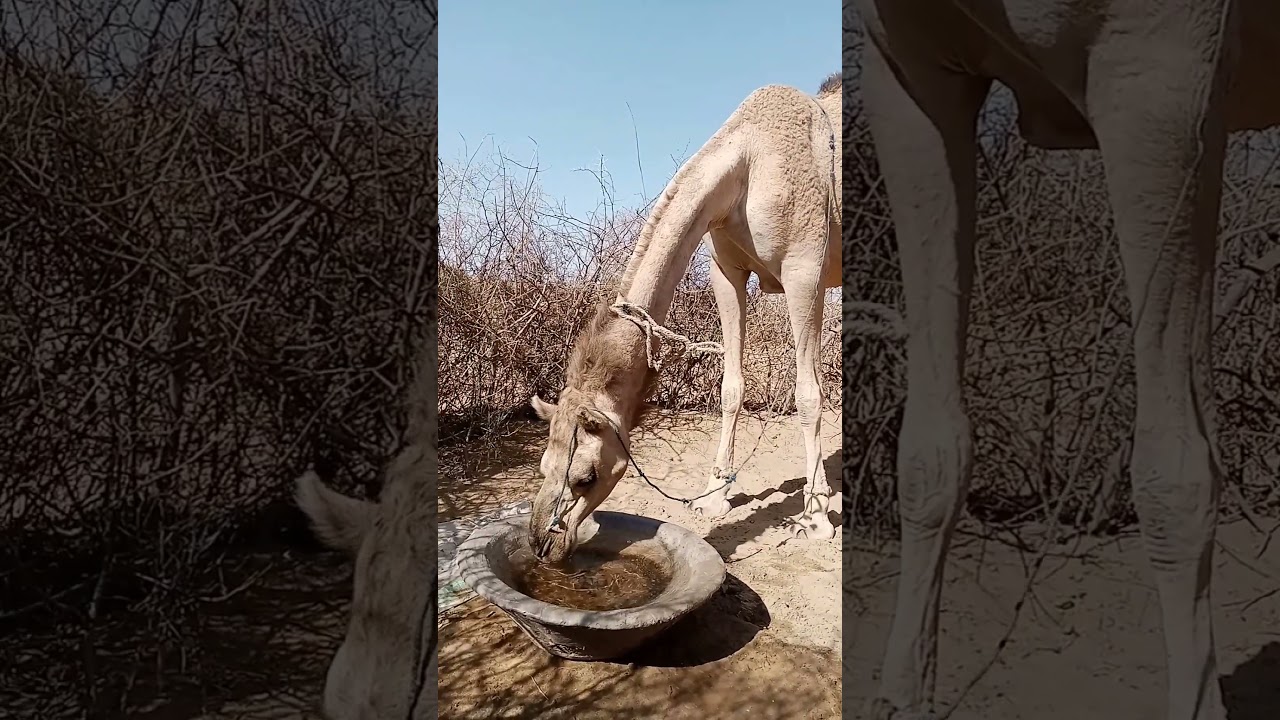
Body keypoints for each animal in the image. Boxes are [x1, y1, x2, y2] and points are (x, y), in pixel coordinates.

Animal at [527, 74, 843, 564]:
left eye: (585, 476)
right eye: (542, 466)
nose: (542, 543)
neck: (749, 160)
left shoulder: (804, 270)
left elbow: (808, 395)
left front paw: (816, 516)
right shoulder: (726, 270)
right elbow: (730, 387)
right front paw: (714, 496)